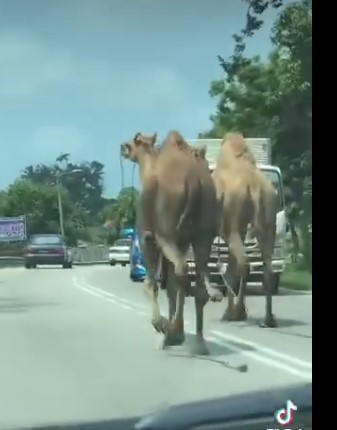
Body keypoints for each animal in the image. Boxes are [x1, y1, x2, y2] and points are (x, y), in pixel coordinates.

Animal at [119, 131, 217, 352]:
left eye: (132, 144)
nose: (122, 147)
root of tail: (193, 180)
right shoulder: (181, 242)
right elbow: (172, 288)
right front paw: (172, 332)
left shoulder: (149, 239)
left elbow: (151, 284)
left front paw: (162, 326)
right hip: (203, 235)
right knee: (195, 281)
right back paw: (198, 342)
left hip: (167, 234)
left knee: (182, 270)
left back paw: (172, 332)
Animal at [211, 133, 276, 328]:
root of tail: (254, 186)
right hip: (267, 218)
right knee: (266, 269)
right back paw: (267, 319)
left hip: (232, 222)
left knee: (243, 264)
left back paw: (235, 312)